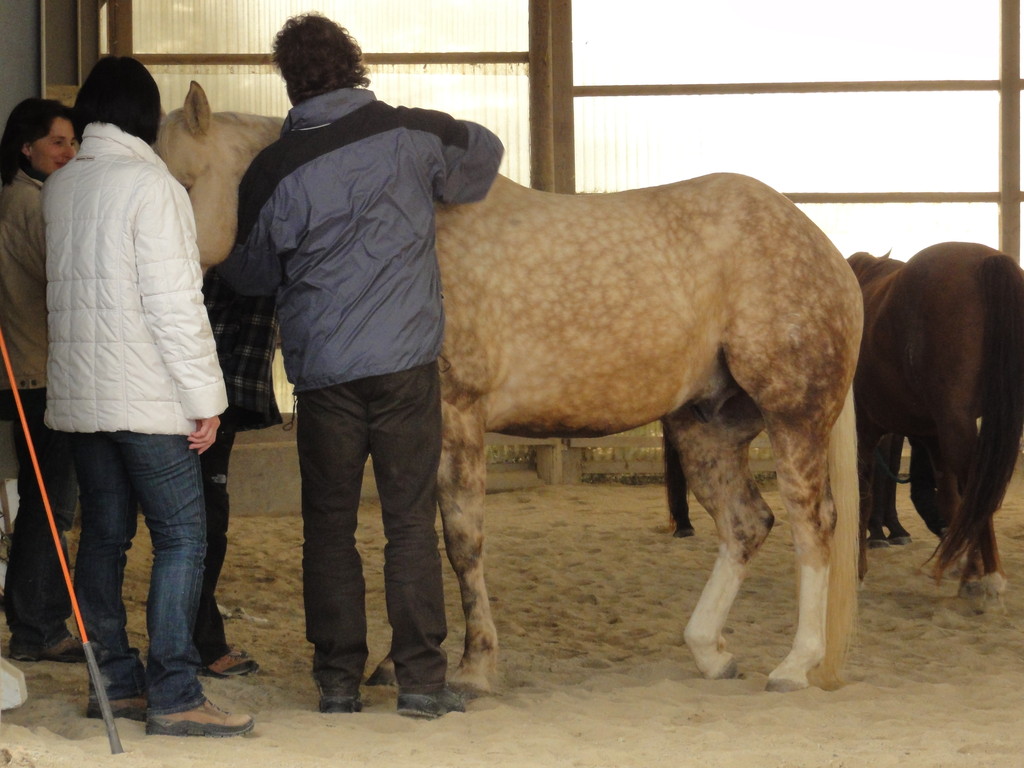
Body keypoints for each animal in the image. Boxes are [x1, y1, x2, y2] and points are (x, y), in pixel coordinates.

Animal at [157, 81, 863, 694]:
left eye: (184, 180)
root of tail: (827, 252)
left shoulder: (456, 419)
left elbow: (461, 541)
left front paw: (473, 668)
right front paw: (398, 664)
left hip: (793, 418)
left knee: (811, 523)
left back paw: (796, 665)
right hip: (705, 427)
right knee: (746, 524)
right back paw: (710, 652)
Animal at [847, 243, 1024, 603]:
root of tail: (990, 260)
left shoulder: (866, 432)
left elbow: (863, 495)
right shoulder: (932, 436)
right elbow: (950, 500)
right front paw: (965, 569)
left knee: (977, 488)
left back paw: (991, 578)